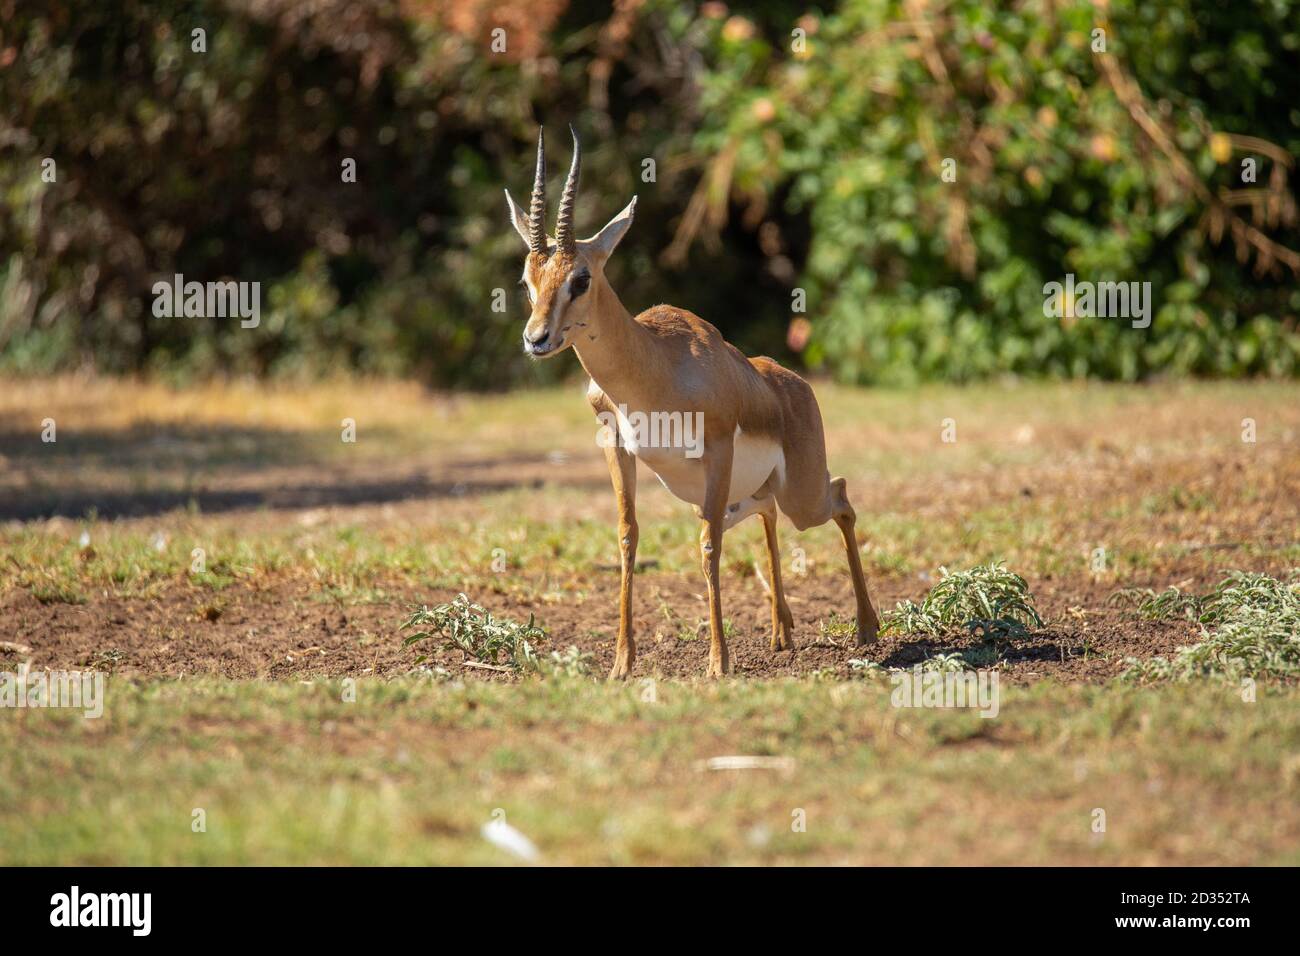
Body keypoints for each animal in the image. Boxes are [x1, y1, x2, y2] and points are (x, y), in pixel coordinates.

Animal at [505, 127, 881, 679]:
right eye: (527, 281)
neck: (654, 367)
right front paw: (621, 664)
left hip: (800, 495)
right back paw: (781, 632)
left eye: (581, 278)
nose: (536, 339)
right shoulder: (614, 446)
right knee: (770, 511)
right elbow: (627, 537)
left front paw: (718, 663)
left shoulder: (717, 448)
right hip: (745, 493)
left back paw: (867, 628)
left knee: (841, 498)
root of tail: (793, 384)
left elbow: (708, 548)